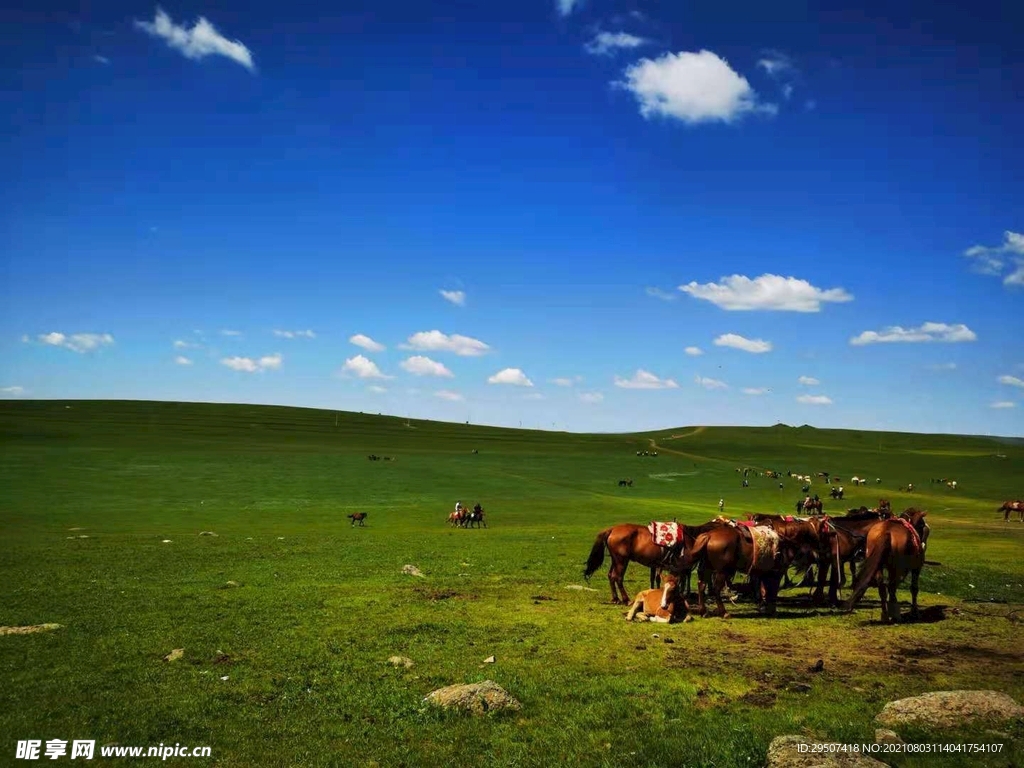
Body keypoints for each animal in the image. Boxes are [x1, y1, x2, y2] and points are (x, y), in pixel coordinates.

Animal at [589, 524, 724, 606]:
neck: (690, 541)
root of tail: (612, 529)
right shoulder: (678, 566)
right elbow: (679, 580)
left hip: (615, 560)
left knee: (610, 575)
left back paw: (615, 598)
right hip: (622, 560)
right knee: (617, 577)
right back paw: (626, 599)